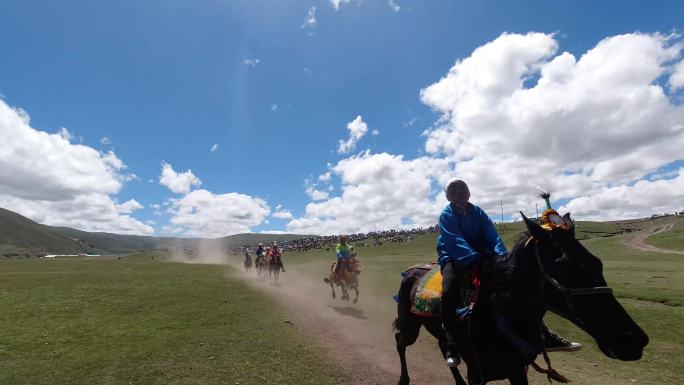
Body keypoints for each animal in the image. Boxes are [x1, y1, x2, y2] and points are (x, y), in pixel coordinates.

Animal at [392, 212, 648, 384]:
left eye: (598, 263)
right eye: (565, 268)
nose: (634, 339)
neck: (495, 309)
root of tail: (410, 272)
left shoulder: (517, 368)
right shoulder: (477, 373)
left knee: (441, 346)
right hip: (410, 327)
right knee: (400, 341)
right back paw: (404, 379)